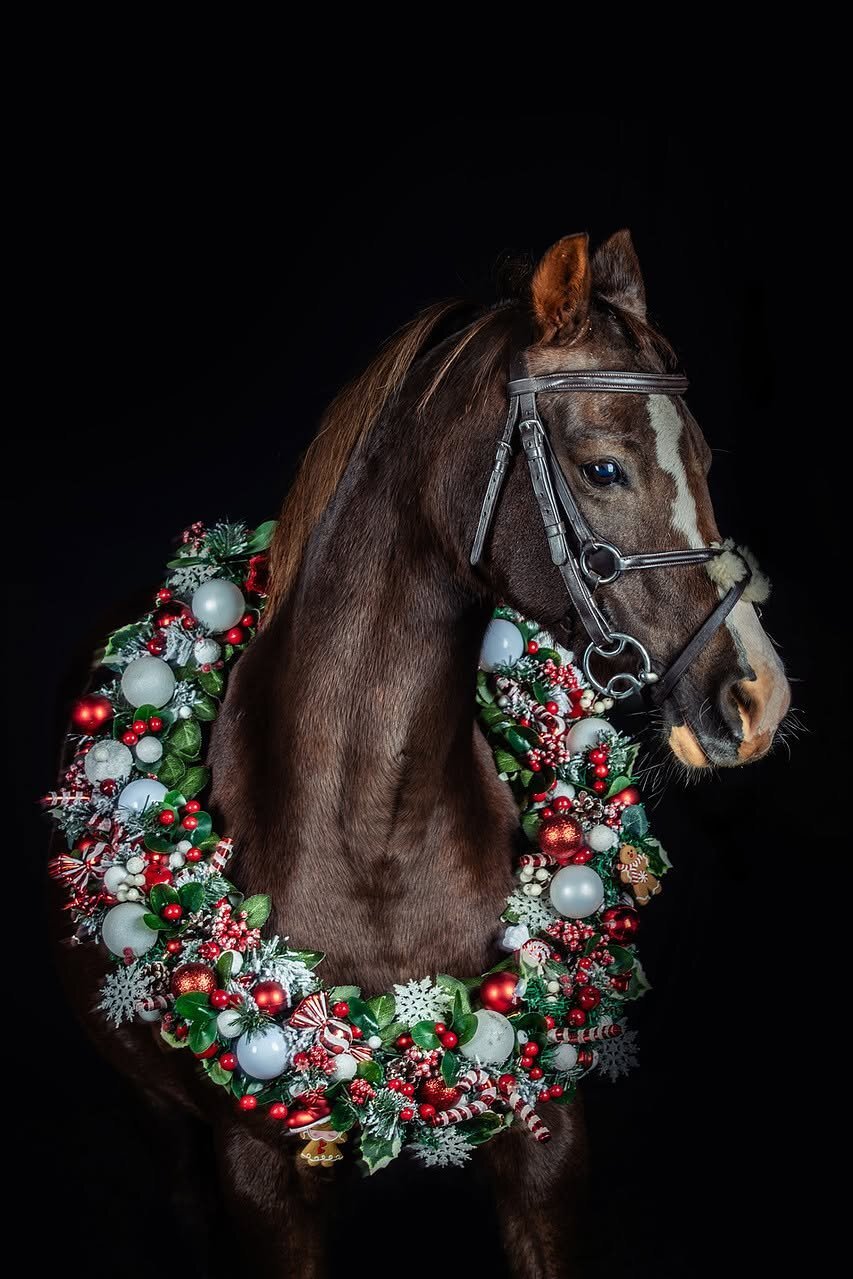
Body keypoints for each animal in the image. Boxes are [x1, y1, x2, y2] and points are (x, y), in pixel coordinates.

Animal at [58, 229, 791, 1277]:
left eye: (698, 454)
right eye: (603, 469)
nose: (756, 693)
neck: (374, 835)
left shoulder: (546, 1142)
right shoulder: (258, 1177)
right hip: (166, 1126)